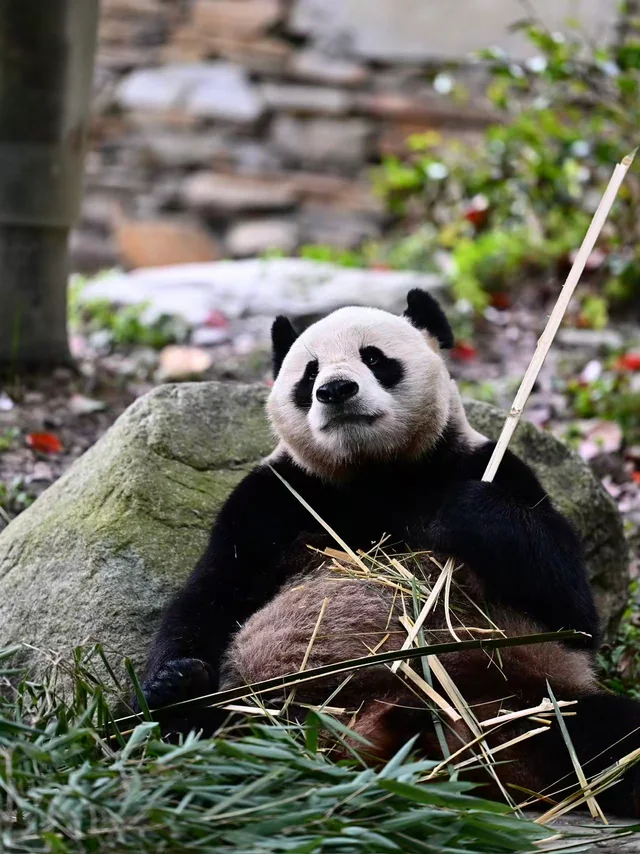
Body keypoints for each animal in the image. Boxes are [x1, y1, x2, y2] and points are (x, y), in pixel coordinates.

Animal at [140, 289, 640, 816]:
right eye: (309, 373)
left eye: (374, 358)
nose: (335, 390)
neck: (374, 473)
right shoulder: (273, 496)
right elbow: (213, 595)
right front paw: (167, 684)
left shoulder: (486, 465)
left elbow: (574, 613)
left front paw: (464, 512)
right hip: (273, 708)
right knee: (224, 725)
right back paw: (186, 696)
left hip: (527, 696)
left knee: (600, 732)